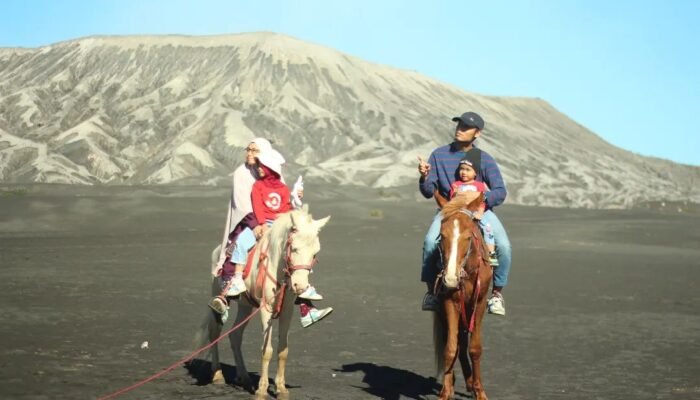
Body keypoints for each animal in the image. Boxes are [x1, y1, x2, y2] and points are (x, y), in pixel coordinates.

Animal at [204, 205, 332, 398]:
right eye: (294, 248)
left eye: (315, 253)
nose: (300, 286)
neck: (277, 266)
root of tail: (219, 249)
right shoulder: (266, 309)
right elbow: (267, 351)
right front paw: (262, 389)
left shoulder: (286, 310)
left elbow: (283, 350)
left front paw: (281, 388)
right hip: (218, 296)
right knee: (214, 333)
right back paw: (218, 375)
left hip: (246, 306)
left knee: (235, 335)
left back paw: (244, 377)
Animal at [432, 191, 492, 400]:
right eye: (442, 235)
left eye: (468, 236)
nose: (450, 278)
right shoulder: (450, 302)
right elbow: (450, 348)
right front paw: (445, 392)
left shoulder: (479, 303)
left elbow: (475, 348)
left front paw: (480, 391)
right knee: (453, 341)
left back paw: (471, 383)